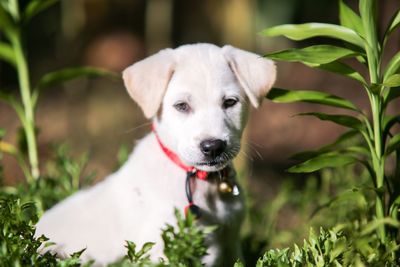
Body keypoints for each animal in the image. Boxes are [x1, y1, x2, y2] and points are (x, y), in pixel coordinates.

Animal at [35, 43, 276, 266]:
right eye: (181, 106)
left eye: (230, 102)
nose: (213, 146)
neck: (201, 184)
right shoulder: (161, 249)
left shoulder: (230, 243)